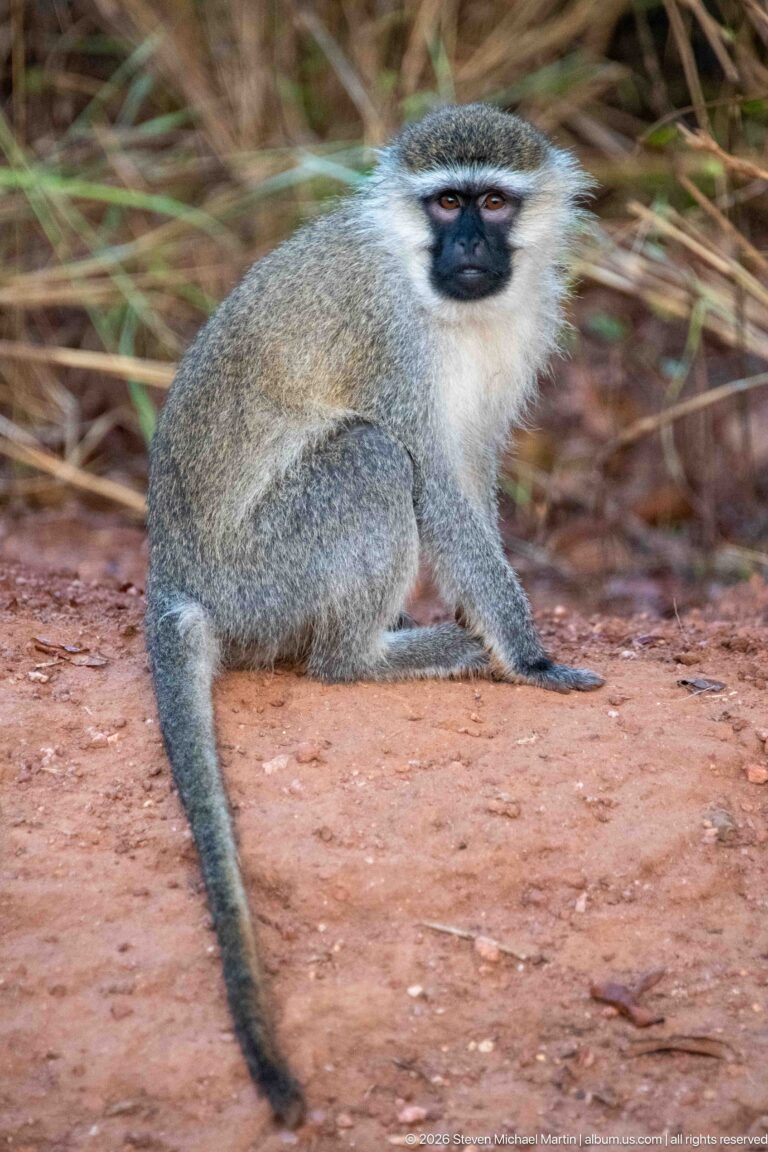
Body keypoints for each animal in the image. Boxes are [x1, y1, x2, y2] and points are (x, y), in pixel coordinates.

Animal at [145, 102, 604, 1128]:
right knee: (369, 458)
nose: (469, 247)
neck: (433, 291)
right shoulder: (386, 335)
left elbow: (468, 471)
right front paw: (525, 655)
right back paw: (373, 655)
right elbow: (430, 473)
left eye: (491, 203)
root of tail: (175, 580)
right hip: (270, 574)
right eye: (444, 203)